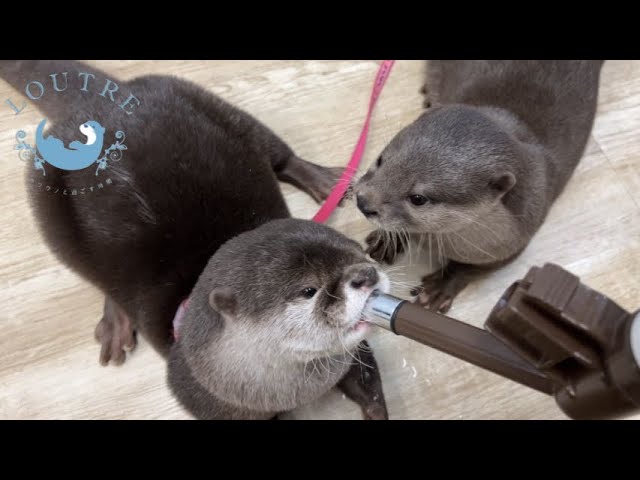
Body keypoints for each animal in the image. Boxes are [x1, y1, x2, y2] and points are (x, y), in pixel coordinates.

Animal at [0, 60, 388, 418]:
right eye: (309, 290)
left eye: (360, 253)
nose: (367, 274)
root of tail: (98, 101)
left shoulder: (347, 355)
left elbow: (367, 380)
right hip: (46, 200)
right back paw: (116, 323)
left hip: (205, 101)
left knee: (275, 149)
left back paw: (326, 180)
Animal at [356, 60, 604, 314]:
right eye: (381, 160)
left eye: (418, 198)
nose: (363, 201)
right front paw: (386, 240)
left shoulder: (513, 242)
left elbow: (471, 269)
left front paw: (440, 287)